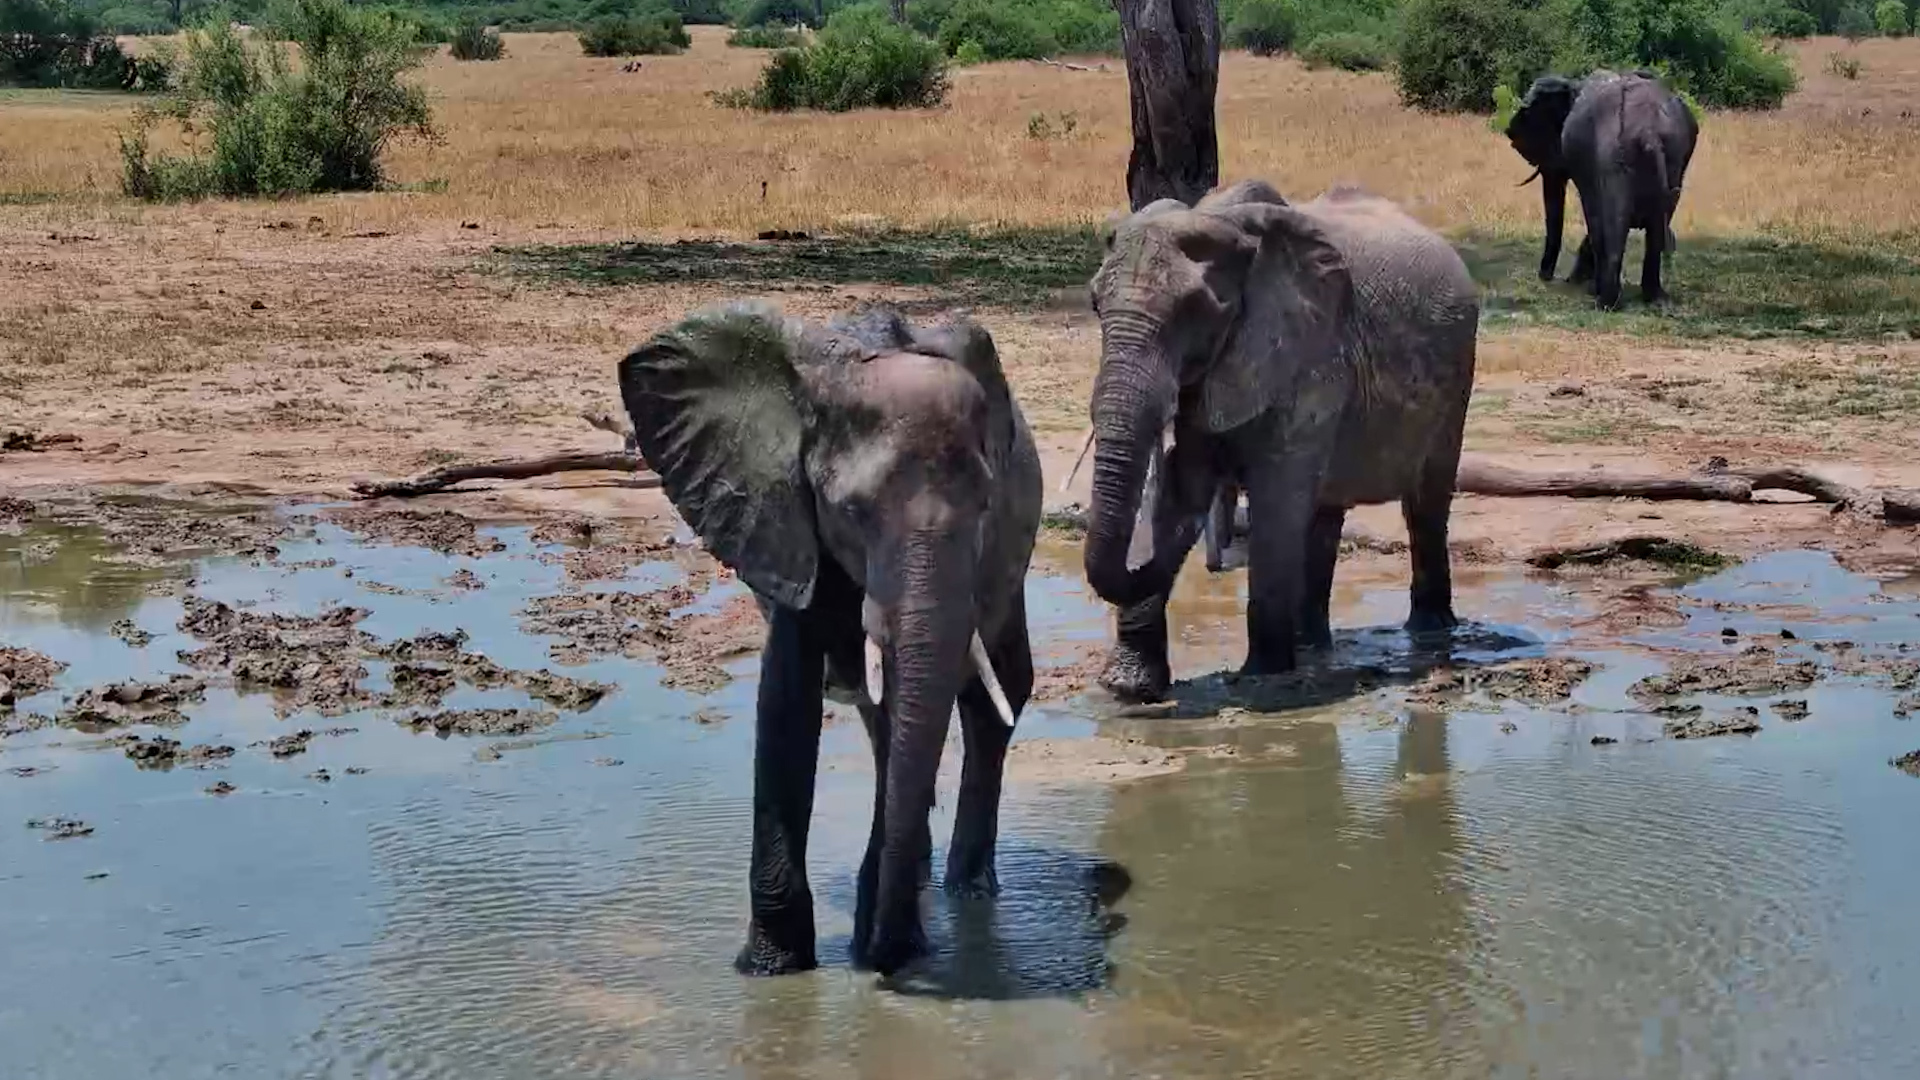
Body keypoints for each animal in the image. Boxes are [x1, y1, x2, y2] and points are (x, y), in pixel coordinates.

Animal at [619, 302, 1042, 977]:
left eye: (984, 507)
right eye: (850, 512)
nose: (890, 958)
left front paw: (886, 947)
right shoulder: (783, 518)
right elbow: (785, 705)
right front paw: (771, 968)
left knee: (990, 702)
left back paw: (966, 891)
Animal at [1080, 180, 1479, 702]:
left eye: (1194, 312)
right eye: (1095, 305)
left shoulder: (1308, 354)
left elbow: (1276, 496)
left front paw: (1260, 680)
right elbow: (1185, 486)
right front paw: (1127, 689)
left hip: (1456, 382)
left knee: (1425, 503)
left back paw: (1430, 634)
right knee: (1325, 512)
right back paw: (1311, 645)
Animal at [1506, 70, 1700, 310]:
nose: (1546, 277)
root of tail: (1649, 132)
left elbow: (1594, 215)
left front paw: (1586, 286)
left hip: (1613, 157)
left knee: (1612, 221)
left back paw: (1605, 301)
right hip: (1675, 156)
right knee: (1656, 222)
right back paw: (1655, 298)